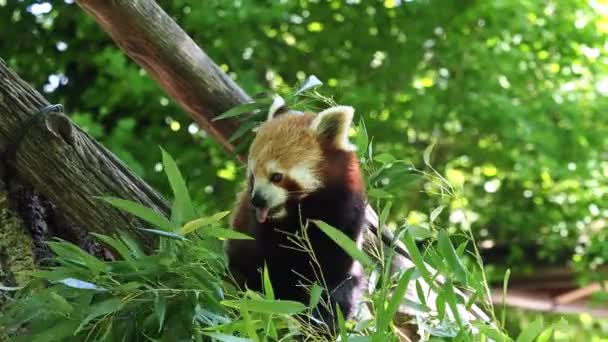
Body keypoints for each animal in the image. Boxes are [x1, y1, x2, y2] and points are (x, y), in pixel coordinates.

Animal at [224, 105, 364, 332]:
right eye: (252, 175)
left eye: (276, 176)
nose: (257, 200)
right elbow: (269, 270)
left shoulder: (344, 224)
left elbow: (335, 279)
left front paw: (325, 315)